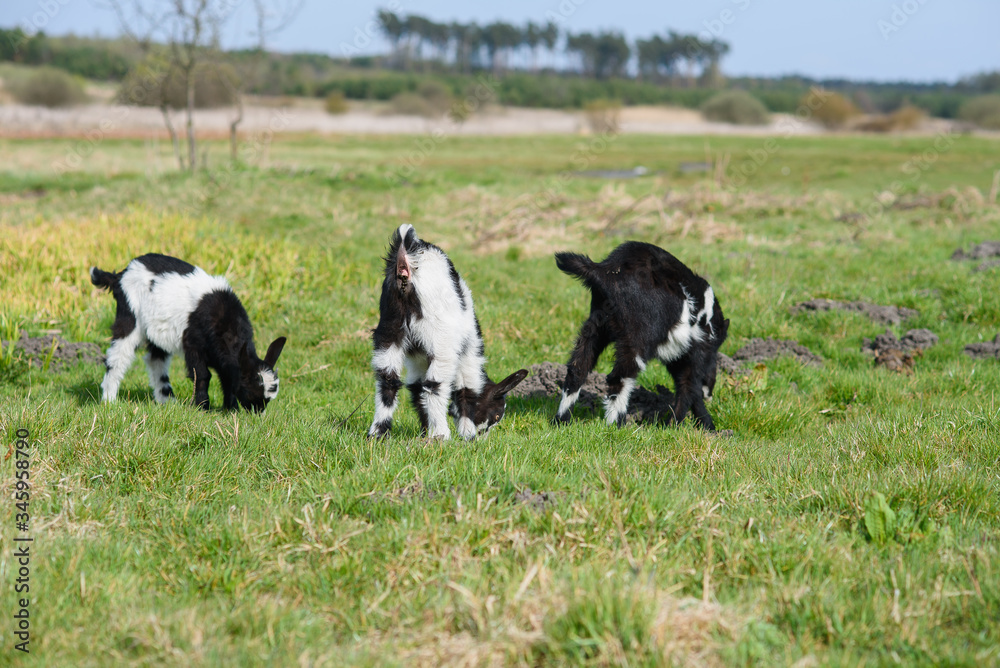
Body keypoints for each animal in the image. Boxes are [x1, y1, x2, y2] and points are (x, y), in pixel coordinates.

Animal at [90, 253, 286, 412]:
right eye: (251, 390)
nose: (257, 413)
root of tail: (120, 275)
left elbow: (227, 378)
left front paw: (231, 409)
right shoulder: (193, 344)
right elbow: (202, 375)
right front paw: (202, 407)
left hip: (158, 326)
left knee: (155, 359)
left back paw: (167, 401)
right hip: (129, 313)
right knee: (118, 356)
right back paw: (109, 400)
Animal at [369, 224, 527, 440]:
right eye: (495, 415)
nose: (482, 438)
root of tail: (406, 256)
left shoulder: (418, 357)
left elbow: (416, 388)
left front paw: (425, 431)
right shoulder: (468, 352)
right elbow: (466, 389)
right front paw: (466, 434)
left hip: (389, 327)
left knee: (387, 379)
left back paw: (378, 434)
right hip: (440, 335)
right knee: (434, 385)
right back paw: (441, 435)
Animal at [553, 241, 729, 430]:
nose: (709, 393)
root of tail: (605, 270)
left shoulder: (677, 354)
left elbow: (686, 384)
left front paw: (702, 424)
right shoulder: (696, 349)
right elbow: (689, 385)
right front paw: (678, 425)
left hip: (596, 324)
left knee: (578, 367)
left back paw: (562, 420)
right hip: (638, 335)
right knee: (620, 376)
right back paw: (616, 425)